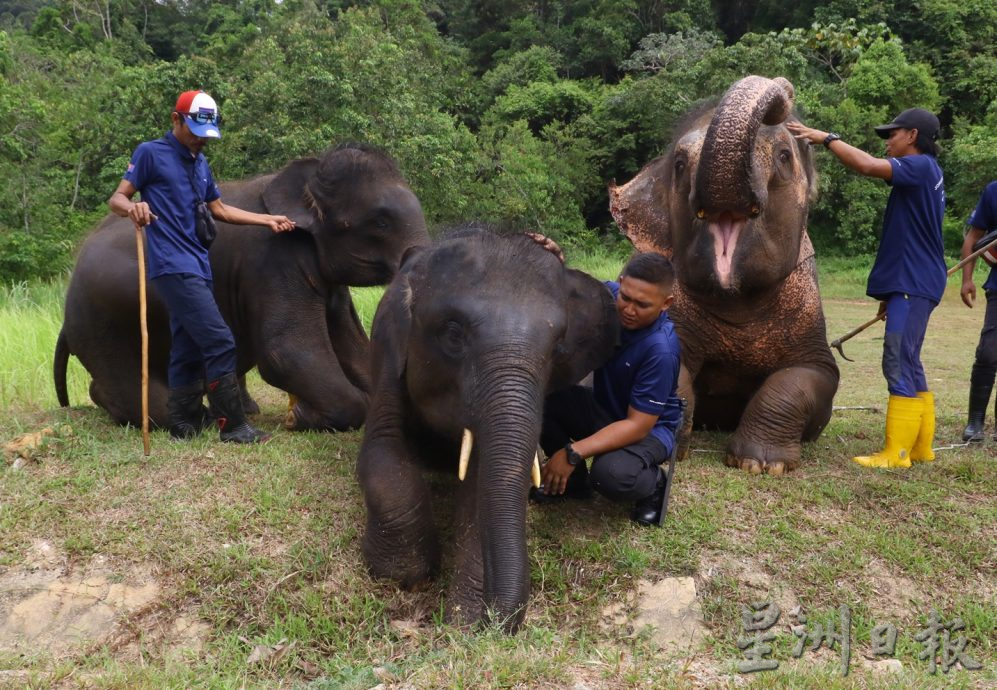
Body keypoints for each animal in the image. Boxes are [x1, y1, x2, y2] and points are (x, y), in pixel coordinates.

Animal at [55, 140, 428, 430]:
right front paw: (297, 419)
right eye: (381, 222)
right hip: (106, 317)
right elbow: (284, 351)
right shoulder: (272, 262)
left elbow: (353, 344)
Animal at [354, 226, 620, 628]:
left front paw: (464, 618)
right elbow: (382, 455)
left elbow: (482, 486)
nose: (494, 621)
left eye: (558, 348)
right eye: (453, 333)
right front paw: (405, 575)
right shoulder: (386, 353)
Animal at [612, 75, 836, 472]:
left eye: (784, 156)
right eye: (680, 164)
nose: (784, 95)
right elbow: (671, 364)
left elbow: (808, 375)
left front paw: (759, 464)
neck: (738, 299)